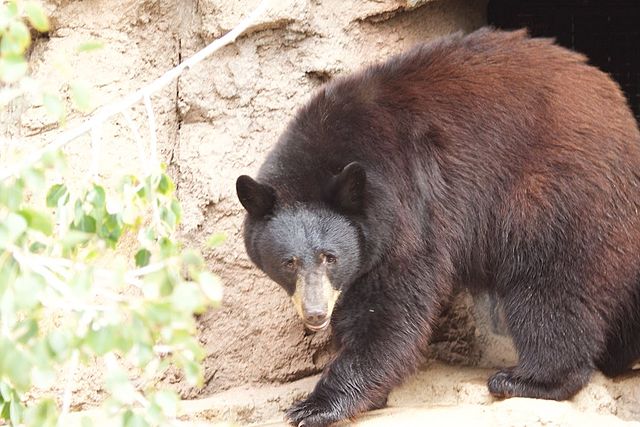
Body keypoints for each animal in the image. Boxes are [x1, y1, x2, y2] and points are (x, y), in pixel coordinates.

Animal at [234, 28, 640, 426]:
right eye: (288, 262)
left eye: (329, 256)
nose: (316, 314)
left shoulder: (407, 207)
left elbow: (391, 307)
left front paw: (317, 405)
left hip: (556, 196)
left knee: (549, 285)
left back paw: (527, 378)